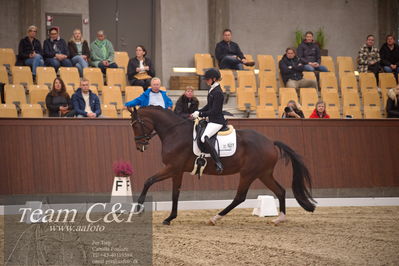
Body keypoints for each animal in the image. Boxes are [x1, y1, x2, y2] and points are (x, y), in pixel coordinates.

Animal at [128, 106, 316, 224]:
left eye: (136, 125)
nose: (139, 146)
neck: (175, 132)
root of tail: (270, 142)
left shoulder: (172, 167)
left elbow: (149, 180)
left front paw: (139, 208)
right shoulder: (177, 170)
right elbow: (175, 193)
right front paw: (169, 218)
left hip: (248, 173)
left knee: (240, 197)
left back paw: (215, 218)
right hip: (264, 174)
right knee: (280, 191)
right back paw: (279, 218)